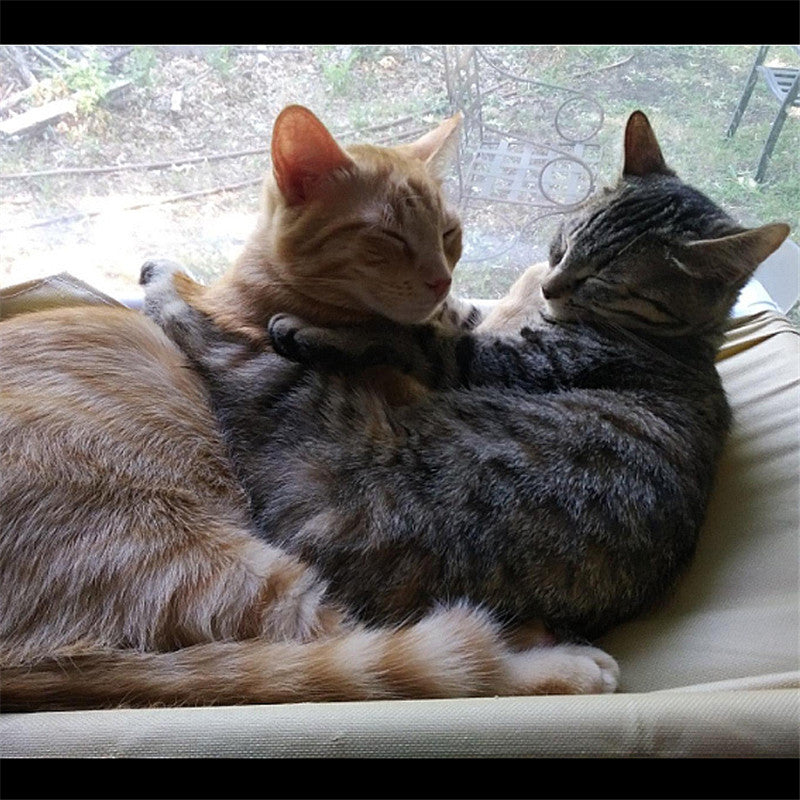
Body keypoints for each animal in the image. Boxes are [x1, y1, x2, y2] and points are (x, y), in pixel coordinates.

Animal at [0, 106, 619, 712]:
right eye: (388, 237)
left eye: (449, 233)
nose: (441, 280)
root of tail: (26, 666)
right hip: (210, 563)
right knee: (381, 650)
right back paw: (554, 661)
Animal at [139, 110, 789, 646]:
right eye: (566, 242)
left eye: (605, 278)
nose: (552, 284)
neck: (682, 343)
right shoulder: (480, 320)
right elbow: (447, 316)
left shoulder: (495, 360)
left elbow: (414, 337)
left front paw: (329, 329)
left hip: (301, 400)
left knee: (210, 336)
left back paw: (169, 284)